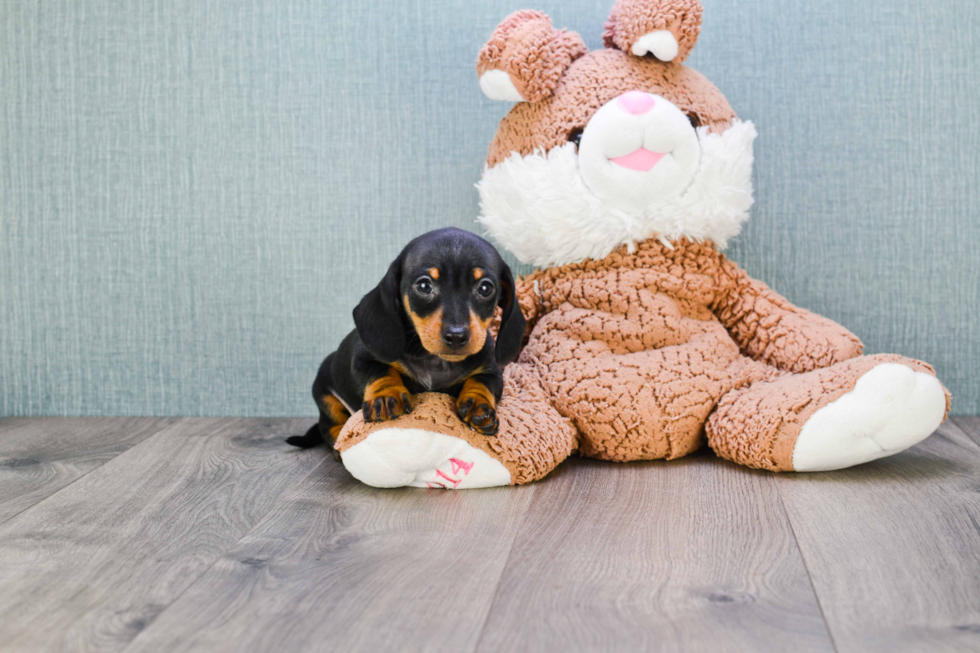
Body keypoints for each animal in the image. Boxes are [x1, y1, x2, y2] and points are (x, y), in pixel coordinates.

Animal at [286, 227, 524, 456]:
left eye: (485, 288)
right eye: (424, 286)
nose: (456, 336)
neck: (436, 362)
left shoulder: (491, 369)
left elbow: (482, 382)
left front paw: (479, 405)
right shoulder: (362, 358)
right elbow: (380, 371)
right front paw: (386, 395)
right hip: (324, 393)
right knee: (329, 427)